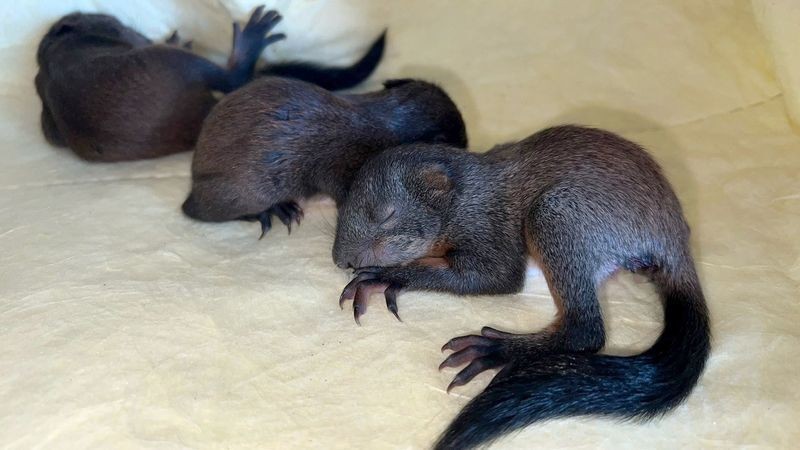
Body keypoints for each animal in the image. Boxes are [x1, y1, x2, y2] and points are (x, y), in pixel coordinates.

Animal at [332, 125, 712, 450]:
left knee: (585, 330)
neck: (464, 193)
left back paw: (498, 350)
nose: (339, 259)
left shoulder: (487, 228)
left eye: (386, 215)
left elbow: (495, 275)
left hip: (555, 212)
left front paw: (389, 275)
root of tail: (673, 243)